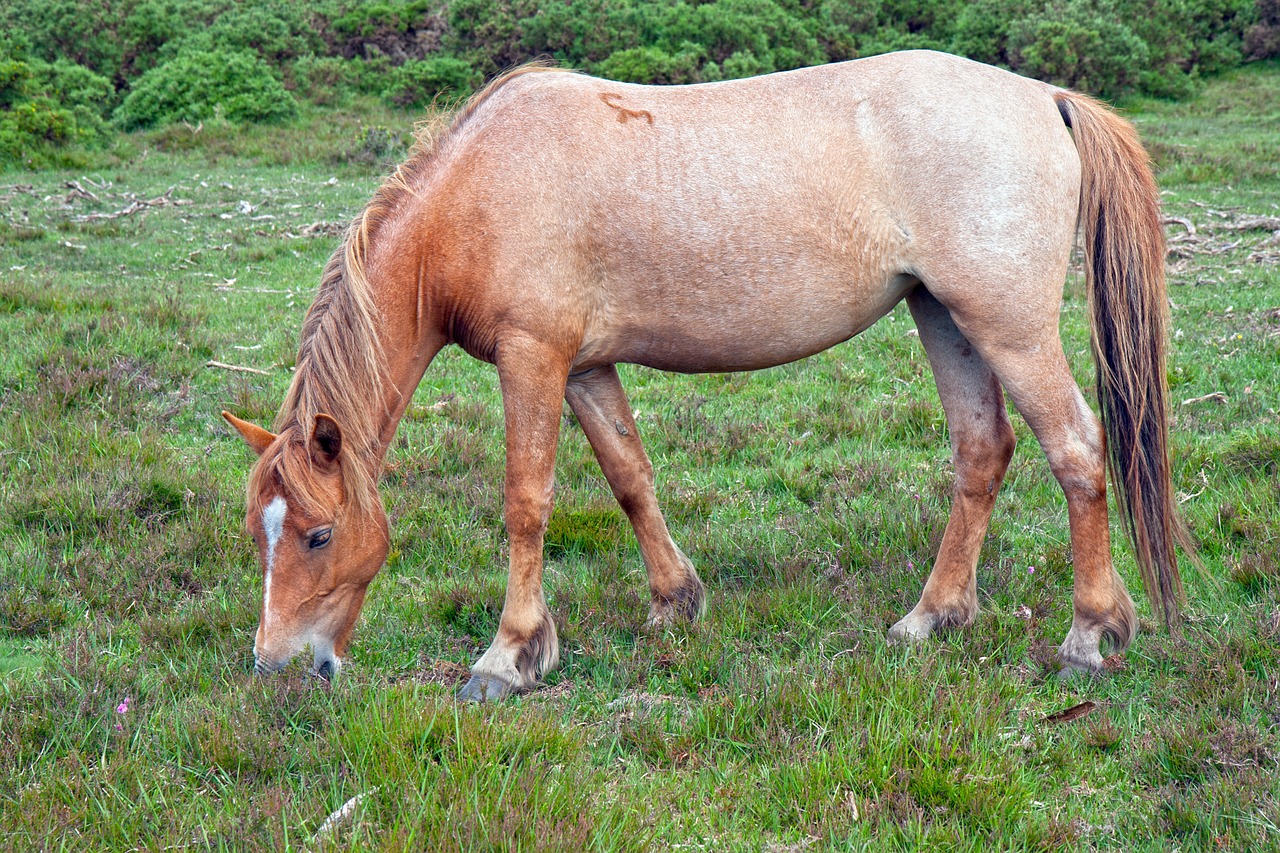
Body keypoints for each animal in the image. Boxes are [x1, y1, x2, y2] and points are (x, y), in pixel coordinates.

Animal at [220, 49, 1187, 696]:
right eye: (257, 532)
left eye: (316, 534)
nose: (276, 663)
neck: (484, 188)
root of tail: (1045, 99)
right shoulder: (586, 367)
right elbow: (630, 477)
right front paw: (674, 601)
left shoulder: (534, 358)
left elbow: (526, 501)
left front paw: (510, 653)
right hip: (944, 316)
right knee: (982, 452)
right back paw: (932, 616)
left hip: (1007, 326)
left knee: (1076, 448)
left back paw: (1089, 633)